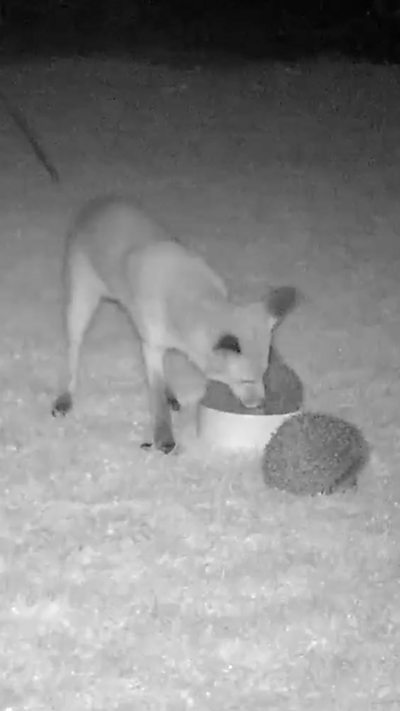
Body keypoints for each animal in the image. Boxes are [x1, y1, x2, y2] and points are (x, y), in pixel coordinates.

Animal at [52, 195, 297, 454]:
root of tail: (97, 203)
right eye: (245, 380)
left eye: (264, 375)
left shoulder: (153, 344)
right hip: (81, 304)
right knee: (74, 351)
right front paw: (164, 437)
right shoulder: (152, 346)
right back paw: (66, 395)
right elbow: (157, 398)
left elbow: (159, 385)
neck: (192, 298)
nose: (260, 404)